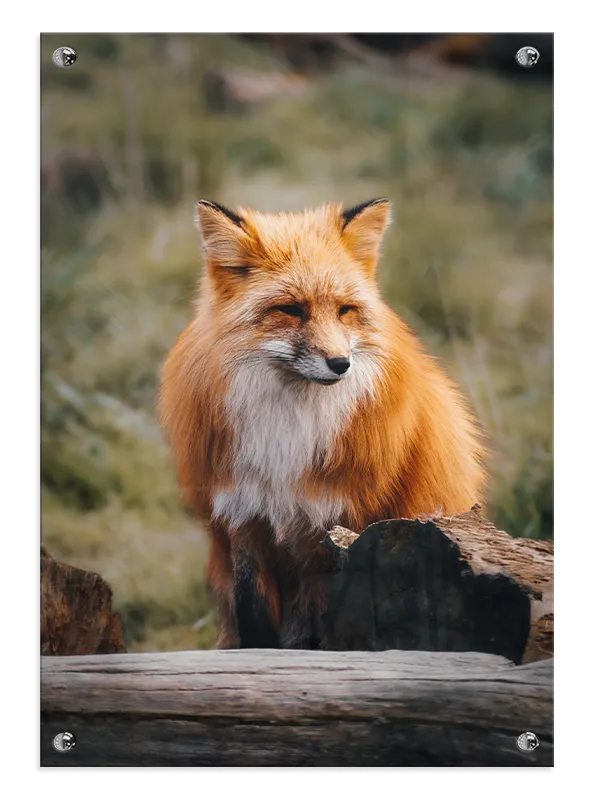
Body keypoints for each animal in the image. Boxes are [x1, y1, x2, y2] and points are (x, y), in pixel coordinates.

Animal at [158, 198, 486, 649]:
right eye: (291, 310)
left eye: (345, 311)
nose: (341, 364)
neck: (287, 432)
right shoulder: (243, 513)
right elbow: (255, 618)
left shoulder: (334, 523)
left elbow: (319, 627)